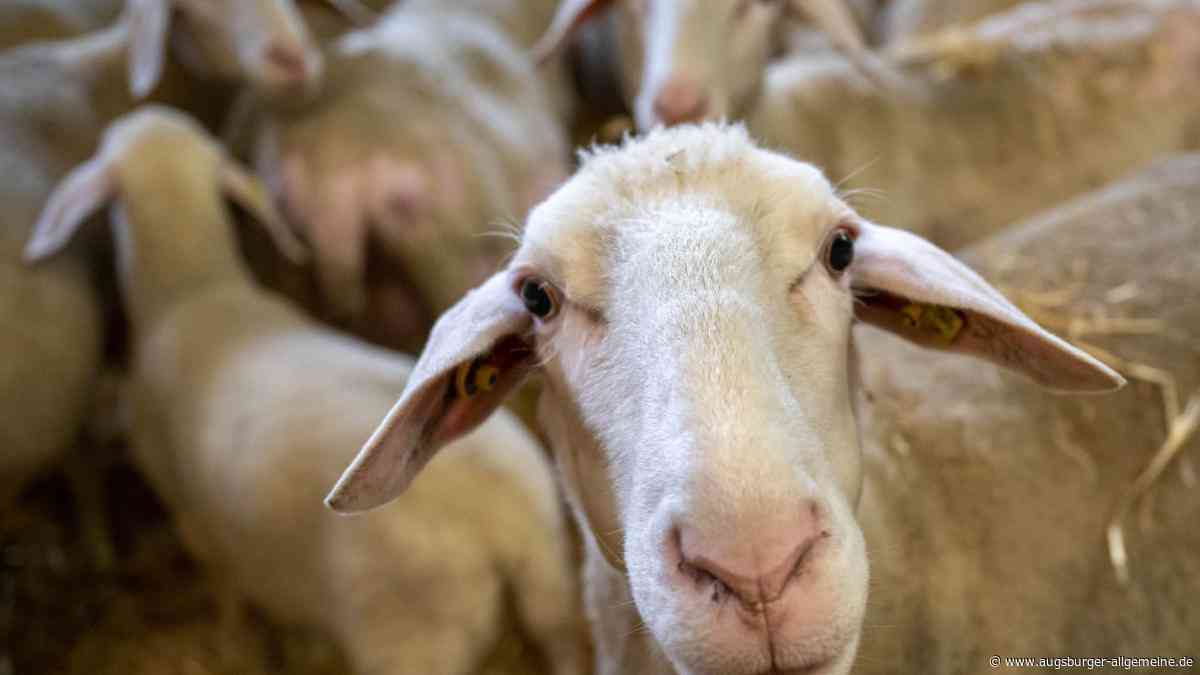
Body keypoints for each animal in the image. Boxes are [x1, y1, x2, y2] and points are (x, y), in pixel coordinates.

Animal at [25, 106, 587, 675]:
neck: (194, 290)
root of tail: (506, 519)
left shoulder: (192, 517)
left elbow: (227, 589)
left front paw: (234, 640)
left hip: (411, 637)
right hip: (553, 588)